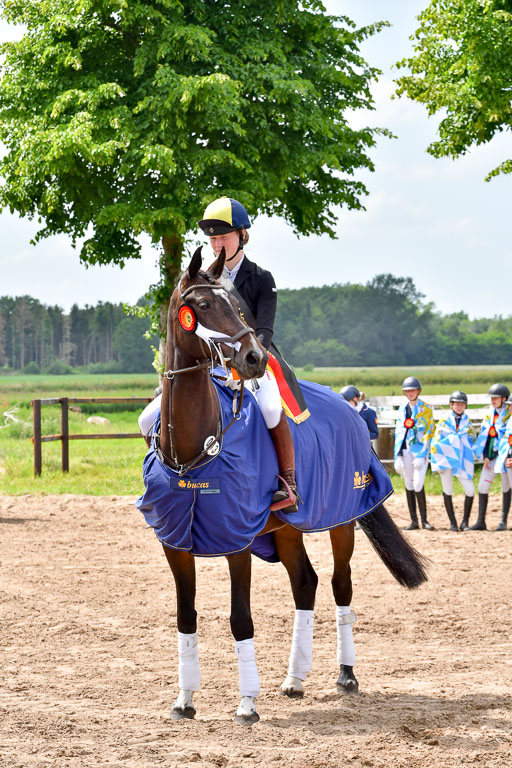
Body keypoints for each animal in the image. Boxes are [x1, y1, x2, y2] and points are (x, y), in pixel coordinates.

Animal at [136, 246, 428, 726]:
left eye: (237, 306)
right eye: (202, 305)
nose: (254, 357)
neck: (194, 448)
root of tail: (350, 408)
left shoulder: (236, 541)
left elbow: (240, 619)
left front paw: (246, 704)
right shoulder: (174, 543)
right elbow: (186, 616)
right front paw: (185, 700)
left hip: (341, 521)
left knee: (340, 585)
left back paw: (345, 676)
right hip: (286, 530)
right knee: (305, 583)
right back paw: (294, 679)